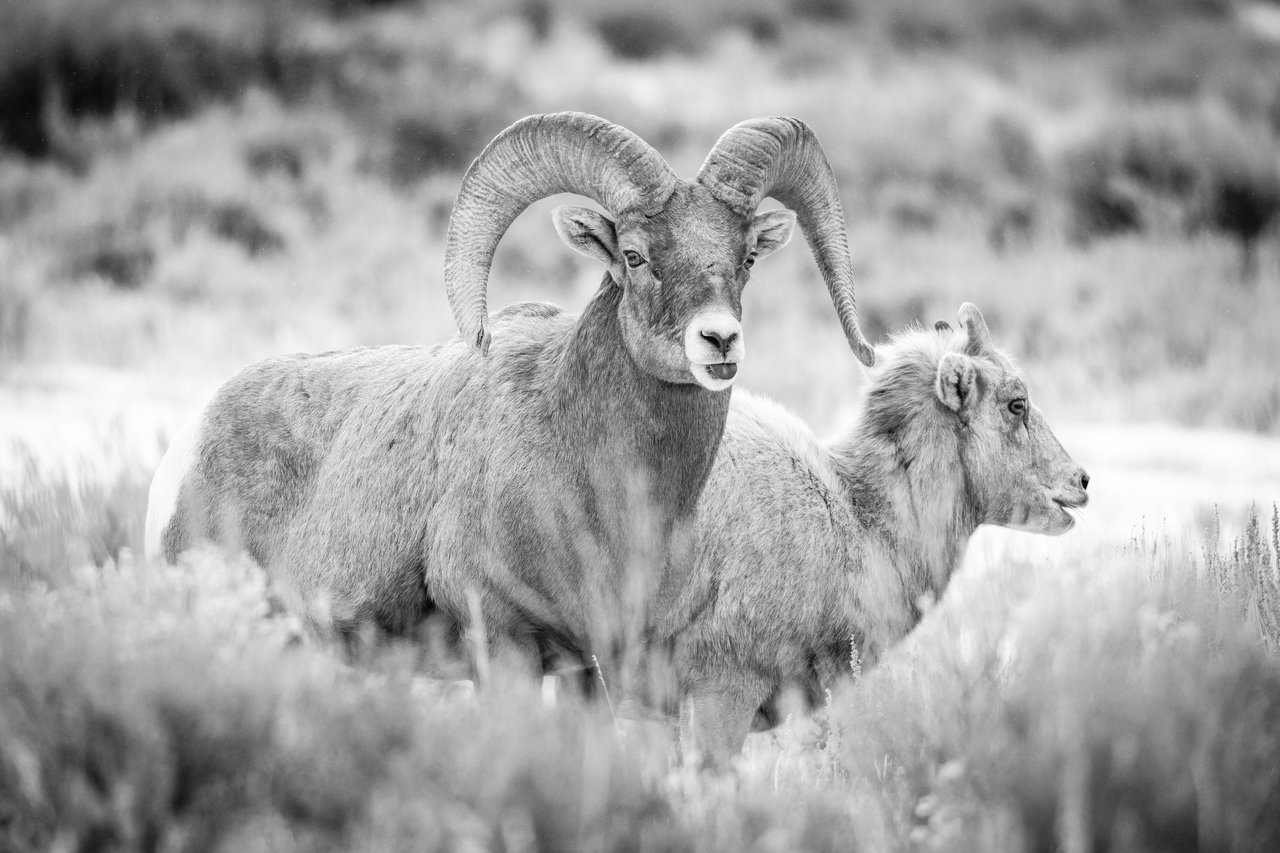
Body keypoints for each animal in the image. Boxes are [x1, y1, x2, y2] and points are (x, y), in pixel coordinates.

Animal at [144, 111, 876, 684]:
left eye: (746, 256)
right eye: (634, 255)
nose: (719, 340)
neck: (592, 481)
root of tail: (187, 449)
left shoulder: (591, 667)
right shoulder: (507, 647)